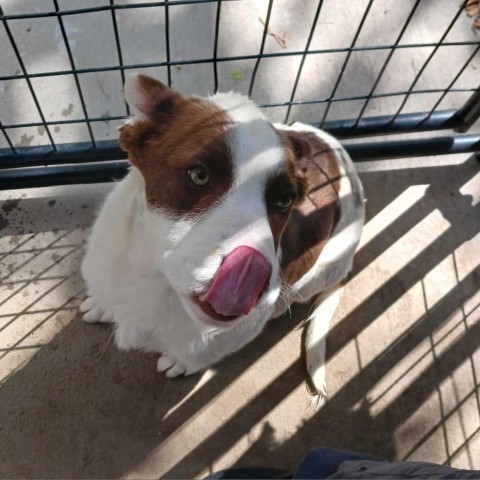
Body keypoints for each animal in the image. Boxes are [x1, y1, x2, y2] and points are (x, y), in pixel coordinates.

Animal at [80, 73, 364, 400]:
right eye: (199, 175)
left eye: (285, 200)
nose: (250, 273)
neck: (155, 282)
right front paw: (101, 305)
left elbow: (190, 356)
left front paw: (179, 362)